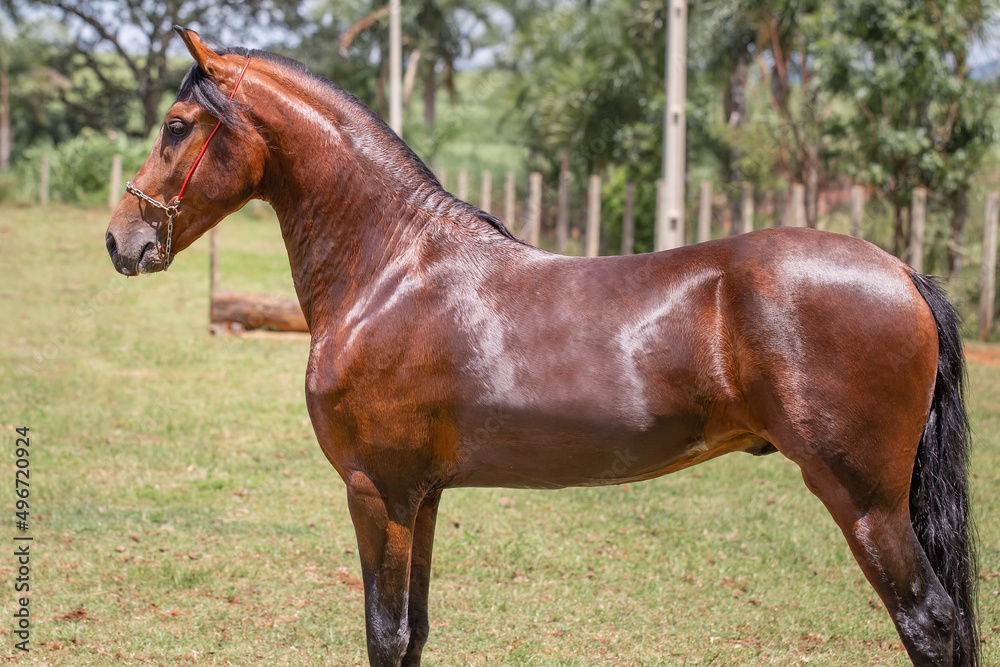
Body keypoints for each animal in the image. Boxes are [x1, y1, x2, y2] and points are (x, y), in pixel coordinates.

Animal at [105, 27, 978, 667]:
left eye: (177, 127)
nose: (123, 238)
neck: (392, 270)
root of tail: (901, 271)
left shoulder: (376, 490)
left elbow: (384, 633)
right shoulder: (421, 496)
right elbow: (414, 631)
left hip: (865, 502)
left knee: (930, 621)